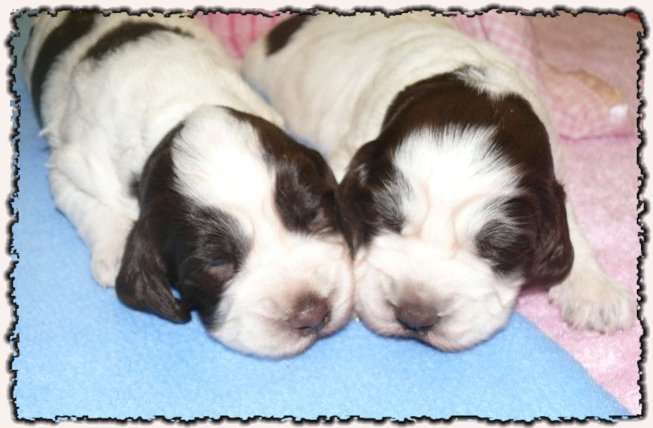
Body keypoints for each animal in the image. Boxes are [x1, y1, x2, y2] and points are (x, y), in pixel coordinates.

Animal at [22, 11, 353, 358]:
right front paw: (113, 253)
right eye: (216, 263)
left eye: (315, 214)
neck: (181, 108)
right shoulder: (70, 165)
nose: (312, 314)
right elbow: (87, 206)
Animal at [243, 12, 635, 351]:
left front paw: (595, 291)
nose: (415, 316)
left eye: (497, 246)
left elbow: (570, 225)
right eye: (385, 219)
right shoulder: (349, 153)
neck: (475, 88)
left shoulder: (553, 173)